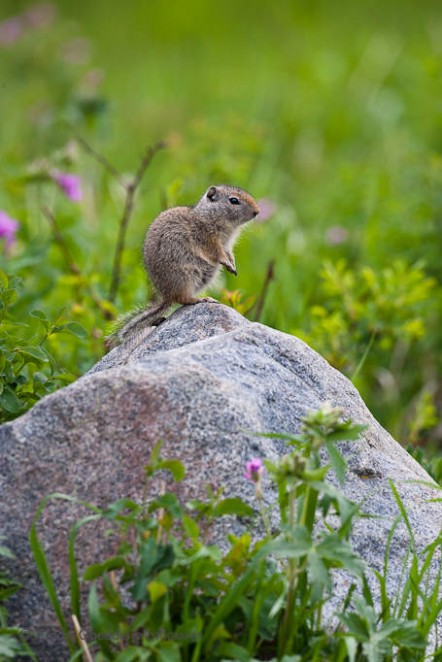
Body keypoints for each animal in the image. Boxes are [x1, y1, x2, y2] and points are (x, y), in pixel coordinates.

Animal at [112, 184, 260, 344]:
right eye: (234, 200)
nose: (257, 211)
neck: (209, 216)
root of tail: (167, 296)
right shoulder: (208, 240)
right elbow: (218, 254)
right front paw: (228, 264)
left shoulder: (227, 245)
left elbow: (229, 254)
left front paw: (233, 265)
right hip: (186, 277)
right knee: (184, 299)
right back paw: (202, 299)